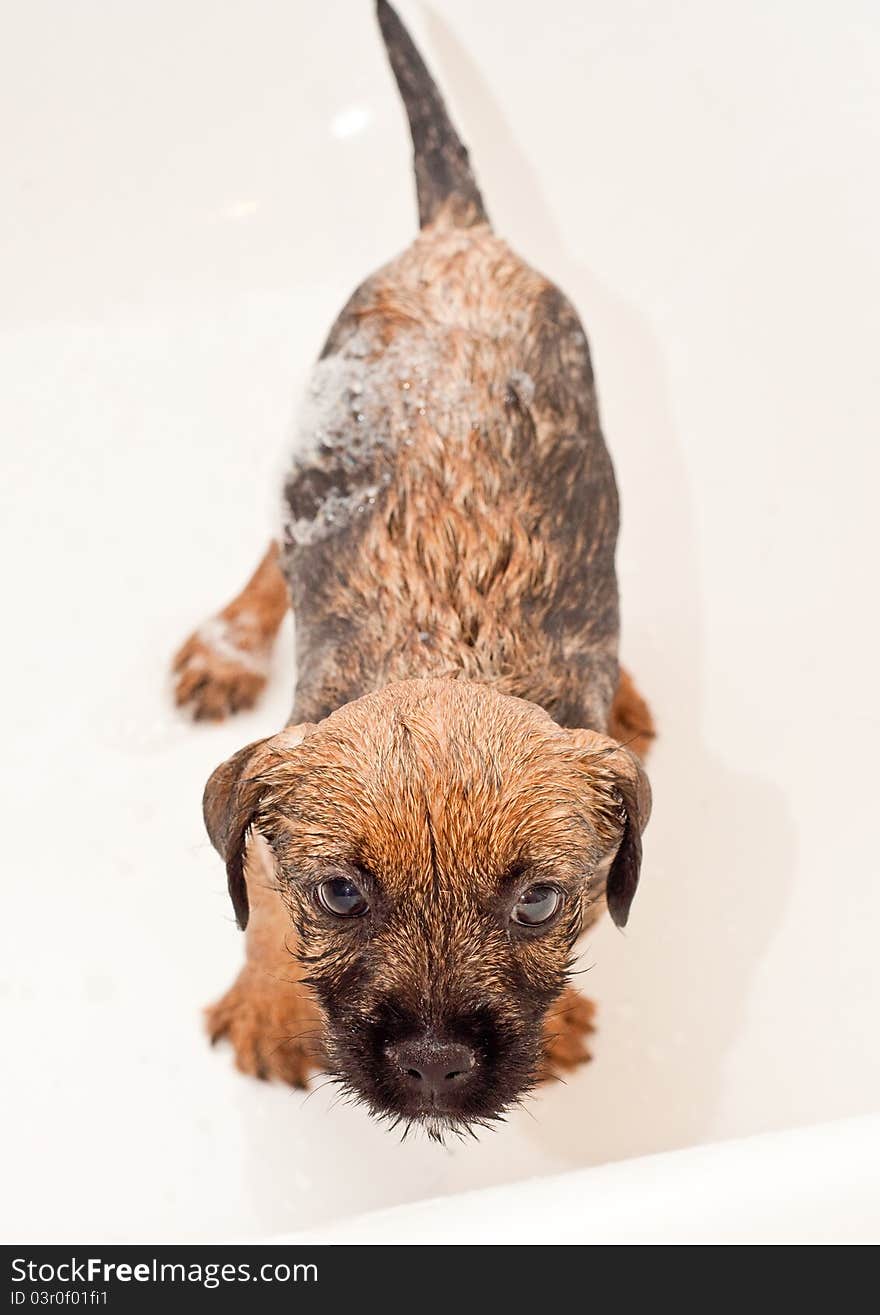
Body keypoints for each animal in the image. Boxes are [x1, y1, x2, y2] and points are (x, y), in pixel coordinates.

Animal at [173, 0, 652, 1141]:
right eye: (342, 894)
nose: (434, 1064)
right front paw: (267, 1003)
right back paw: (230, 640)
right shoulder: (267, 848)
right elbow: (258, 910)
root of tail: (458, 236)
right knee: (272, 549)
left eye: (537, 901)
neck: (448, 653)